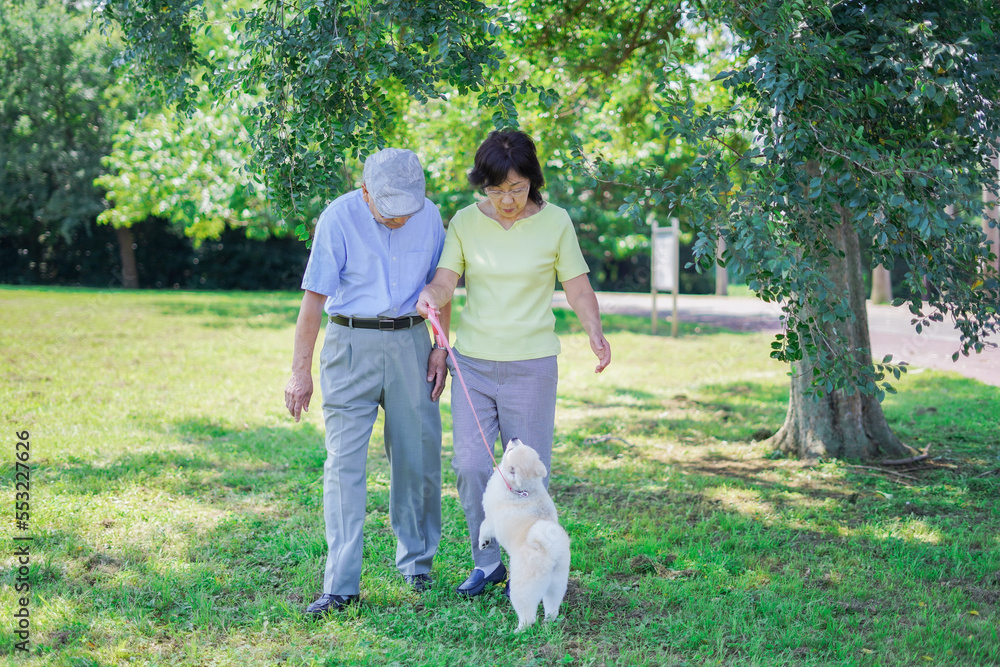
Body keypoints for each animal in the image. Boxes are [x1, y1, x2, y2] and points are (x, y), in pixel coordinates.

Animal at [478, 438, 571, 631]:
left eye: (510, 450)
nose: (514, 438)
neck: (521, 490)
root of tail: (550, 550)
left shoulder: (491, 520)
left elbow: (483, 528)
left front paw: (483, 542)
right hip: (557, 583)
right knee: (552, 607)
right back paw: (548, 623)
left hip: (523, 588)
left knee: (528, 616)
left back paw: (517, 631)